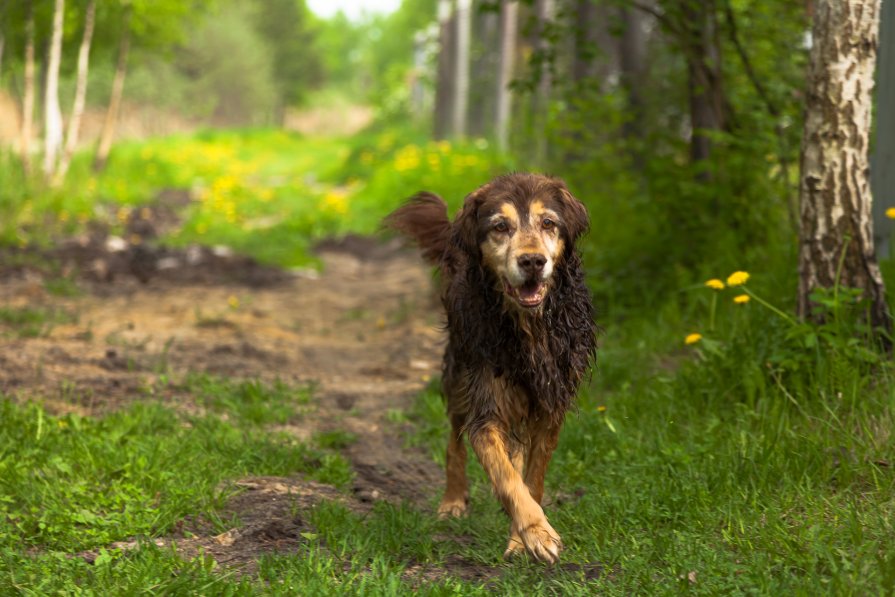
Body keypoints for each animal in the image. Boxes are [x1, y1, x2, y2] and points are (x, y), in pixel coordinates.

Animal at [388, 172, 600, 564]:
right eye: (501, 226)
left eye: (549, 223)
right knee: (455, 439)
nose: (532, 261)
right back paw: (452, 500)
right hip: (459, 373)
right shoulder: (486, 402)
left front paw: (520, 537)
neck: (528, 328)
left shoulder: (551, 406)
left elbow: (532, 478)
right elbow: (505, 476)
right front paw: (535, 533)